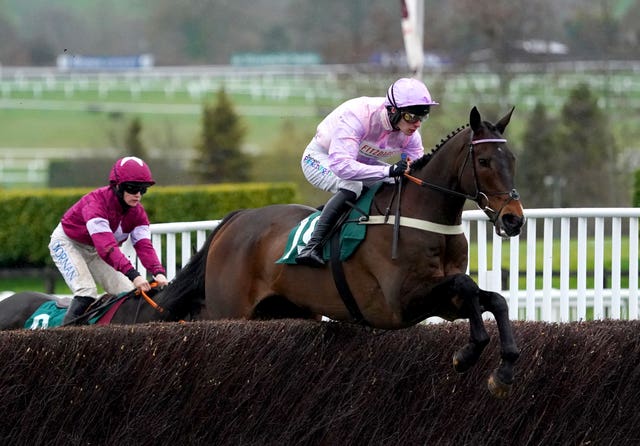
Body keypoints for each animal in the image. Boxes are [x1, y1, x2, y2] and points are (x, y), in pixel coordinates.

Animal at [164, 106, 524, 398]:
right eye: (484, 161)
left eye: (512, 159)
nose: (513, 218)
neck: (422, 215)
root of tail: (235, 219)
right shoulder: (401, 302)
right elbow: (467, 286)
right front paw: (467, 354)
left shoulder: (443, 301)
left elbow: (493, 299)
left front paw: (504, 370)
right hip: (229, 310)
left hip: (286, 310)